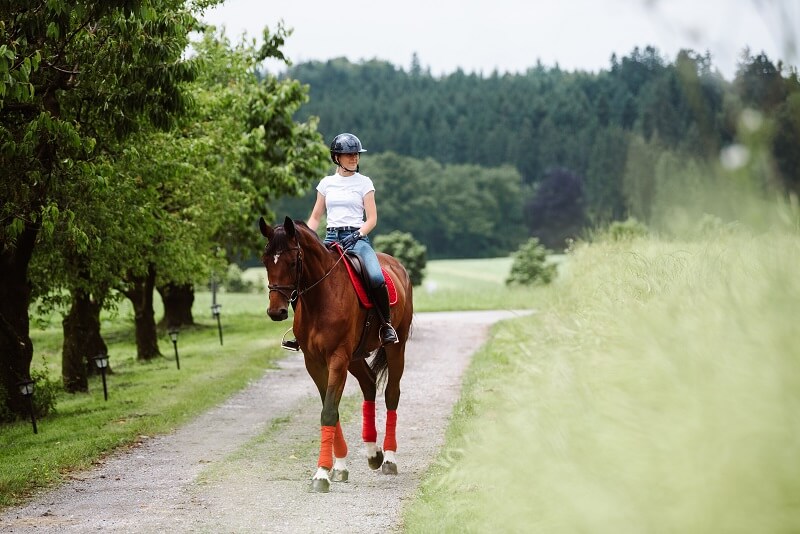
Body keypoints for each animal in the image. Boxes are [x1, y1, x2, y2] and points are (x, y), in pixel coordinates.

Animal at [260, 217, 416, 494]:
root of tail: (397, 266)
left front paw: (321, 474)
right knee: (368, 384)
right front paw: (339, 467)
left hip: (394, 348)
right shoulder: (314, 362)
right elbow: (330, 407)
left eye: (292, 262)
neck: (320, 297)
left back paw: (388, 458)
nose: (276, 312)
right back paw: (372, 453)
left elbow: (329, 411)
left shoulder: (337, 358)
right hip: (355, 357)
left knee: (391, 394)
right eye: (266, 260)